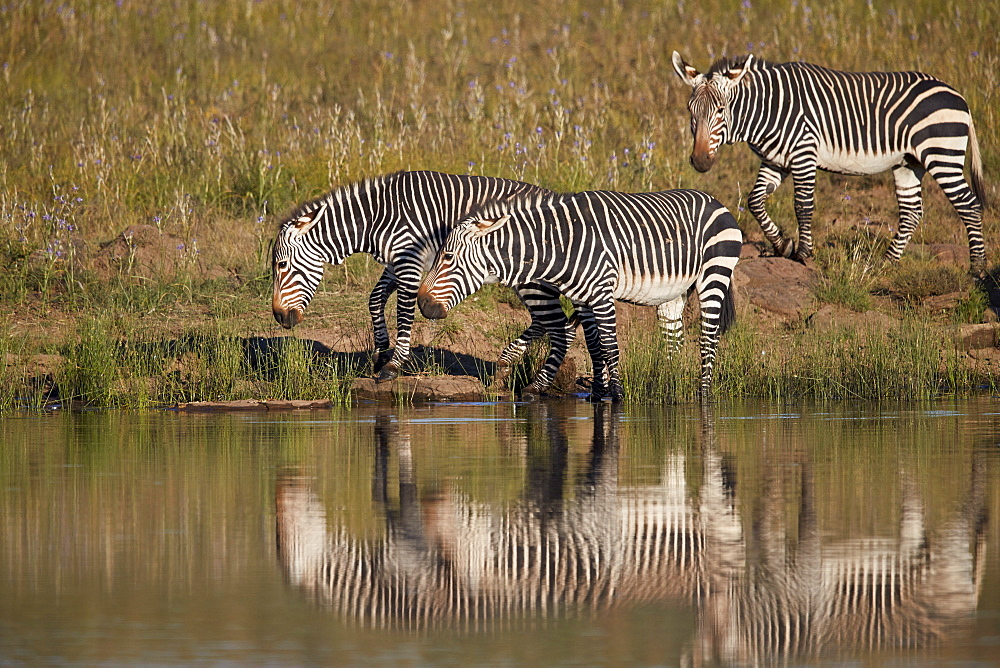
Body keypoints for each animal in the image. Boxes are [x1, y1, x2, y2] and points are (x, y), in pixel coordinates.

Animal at [272, 171, 584, 392]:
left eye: (281, 265)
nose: (279, 317)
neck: (377, 217)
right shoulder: (396, 262)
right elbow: (375, 299)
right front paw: (381, 352)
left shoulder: (409, 259)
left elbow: (404, 310)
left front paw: (394, 364)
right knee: (552, 322)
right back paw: (509, 362)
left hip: (531, 279)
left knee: (555, 323)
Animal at [414, 187, 744, 402]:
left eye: (448, 257)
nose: (422, 303)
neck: (560, 244)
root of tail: (716, 201)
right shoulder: (582, 298)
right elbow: (595, 347)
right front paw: (597, 394)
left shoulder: (601, 294)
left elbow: (610, 349)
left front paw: (617, 398)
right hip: (674, 293)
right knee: (673, 341)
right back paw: (668, 387)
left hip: (714, 274)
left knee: (708, 339)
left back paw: (703, 396)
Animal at [668, 51, 988, 272]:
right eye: (690, 110)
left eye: (721, 110)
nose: (700, 162)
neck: (769, 109)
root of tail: (958, 96)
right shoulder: (775, 162)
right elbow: (754, 201)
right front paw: (782, 244)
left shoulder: (803, 155)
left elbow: (802, 207)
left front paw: (803, 254)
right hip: (908, 163)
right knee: (911, 213)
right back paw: (885, 263)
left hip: (941, 155)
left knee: (969, 205)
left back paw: (977, 268)